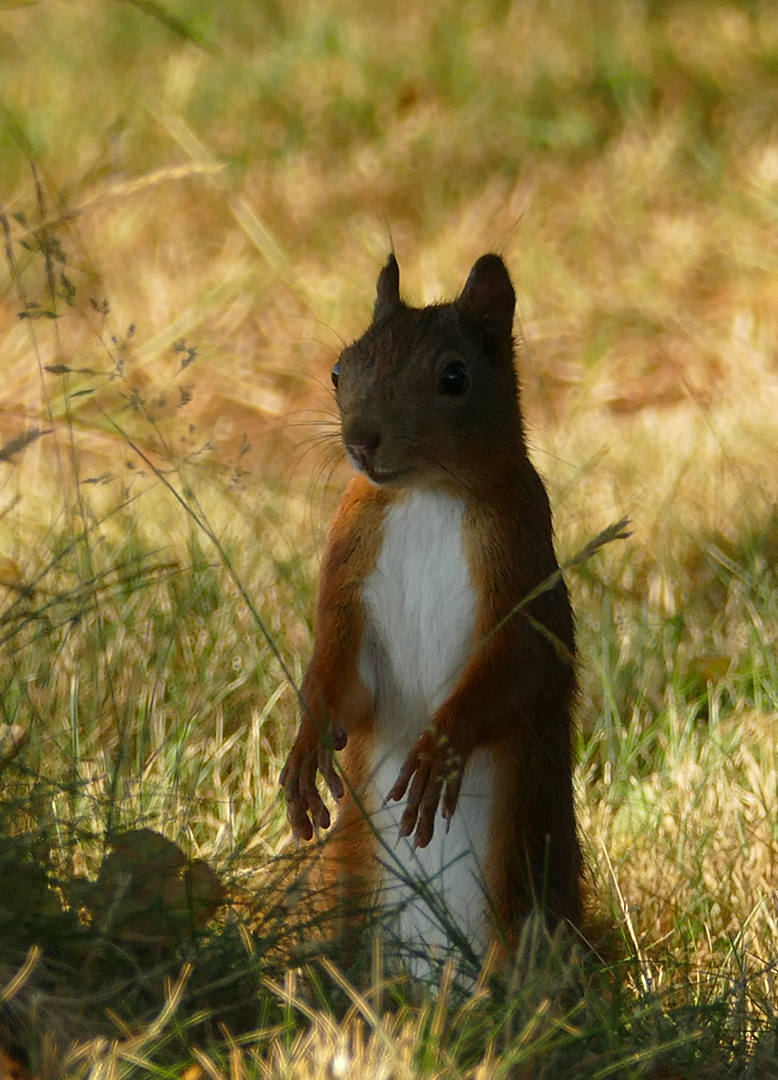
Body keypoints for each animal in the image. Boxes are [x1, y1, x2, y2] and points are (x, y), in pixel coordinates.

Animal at [280, 254, 583, 980]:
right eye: (339, 370)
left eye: (455, 377)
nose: (361, 441)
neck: (425, 495)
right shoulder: (349, 575)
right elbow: (345, 687)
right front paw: (307, 741)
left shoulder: (524, 577)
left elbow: (520, 673)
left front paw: (440, 749)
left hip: (529, 893)